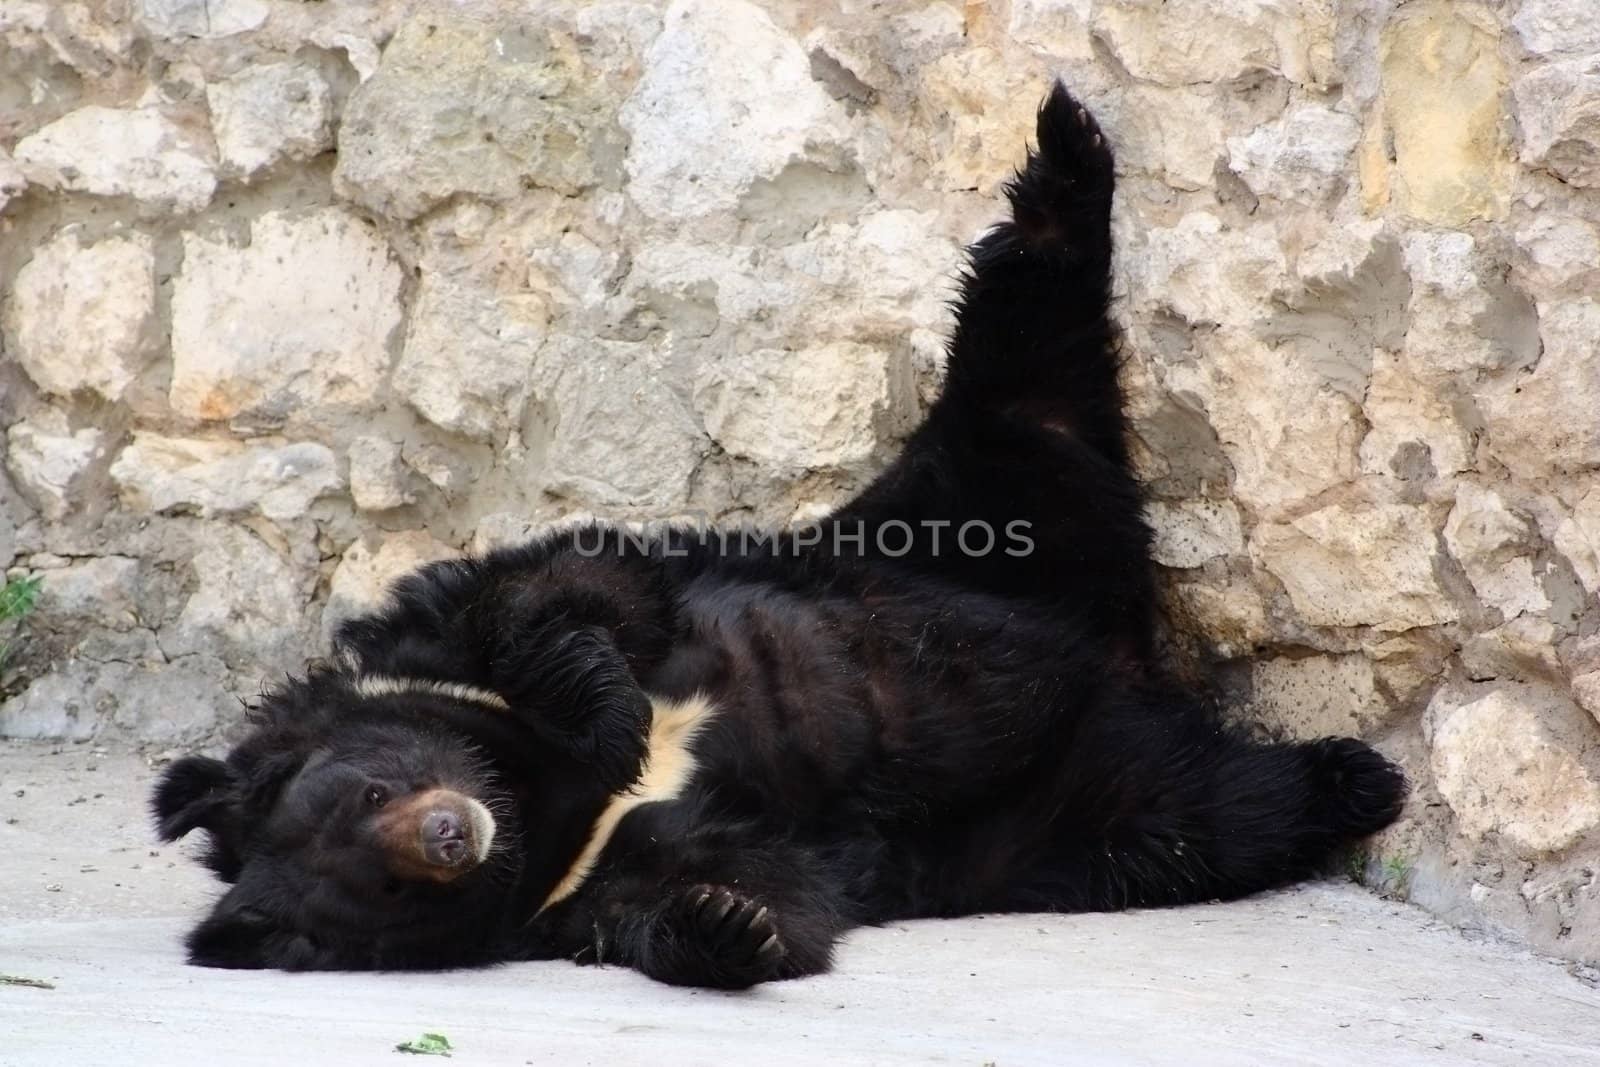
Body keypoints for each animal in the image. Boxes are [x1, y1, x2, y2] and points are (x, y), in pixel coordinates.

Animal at [147, 85, 1401, 991]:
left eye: (371, 788)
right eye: (390, 888)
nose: (450, 832)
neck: (545, 800)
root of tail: (1122, 647)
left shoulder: (489, 619)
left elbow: (560, 594)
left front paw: (608, 712)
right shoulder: (604, 873)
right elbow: (758, 891)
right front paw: (725, 926)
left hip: (956, 509)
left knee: (1022, 352)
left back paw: (1063, 159)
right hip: (1077, 810)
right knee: (1217, 810)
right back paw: (1347, 777)